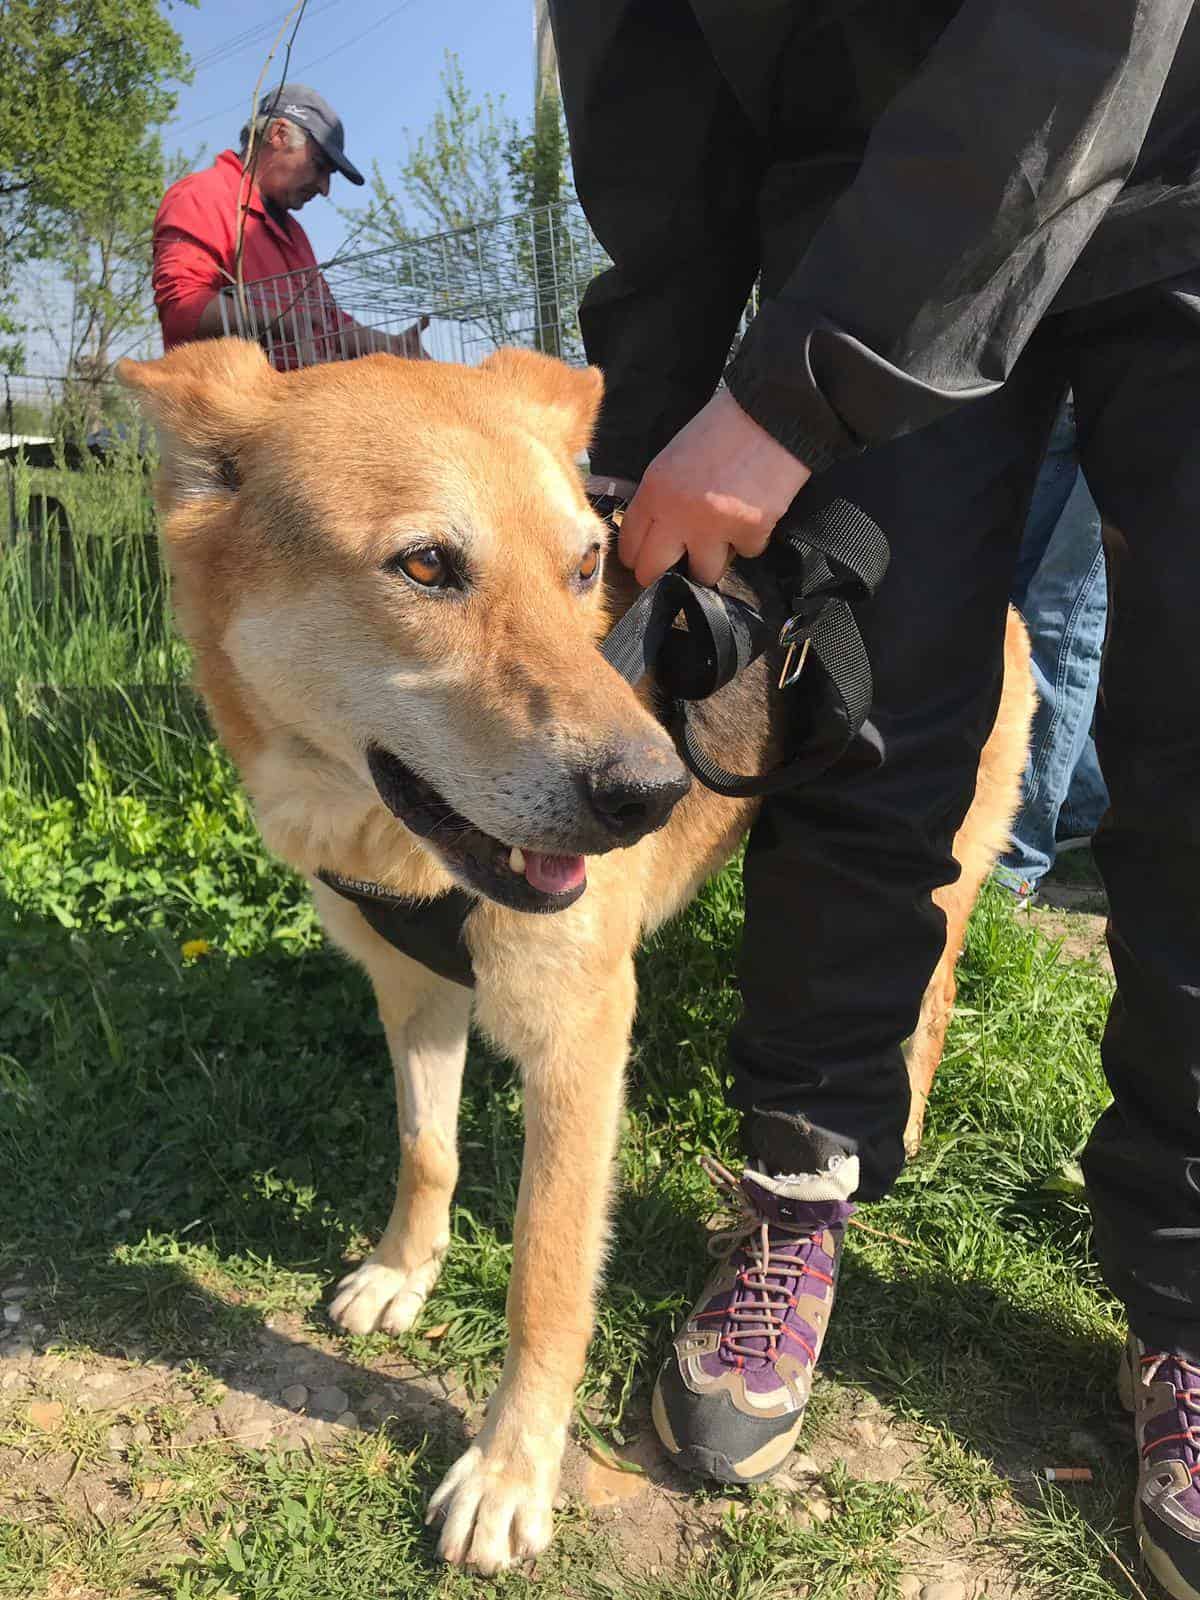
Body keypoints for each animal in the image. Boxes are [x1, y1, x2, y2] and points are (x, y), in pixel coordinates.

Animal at [119, 339, 1033, 1574]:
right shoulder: (413, 992)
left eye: (586, 563)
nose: (654, 796)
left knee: (920, 1000)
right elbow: (427, 1150)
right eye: (425, 565)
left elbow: (546, 1279)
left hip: (935, 864)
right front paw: (403, 1270)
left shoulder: (579, 1043)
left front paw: (511, 1472)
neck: (387, 844)